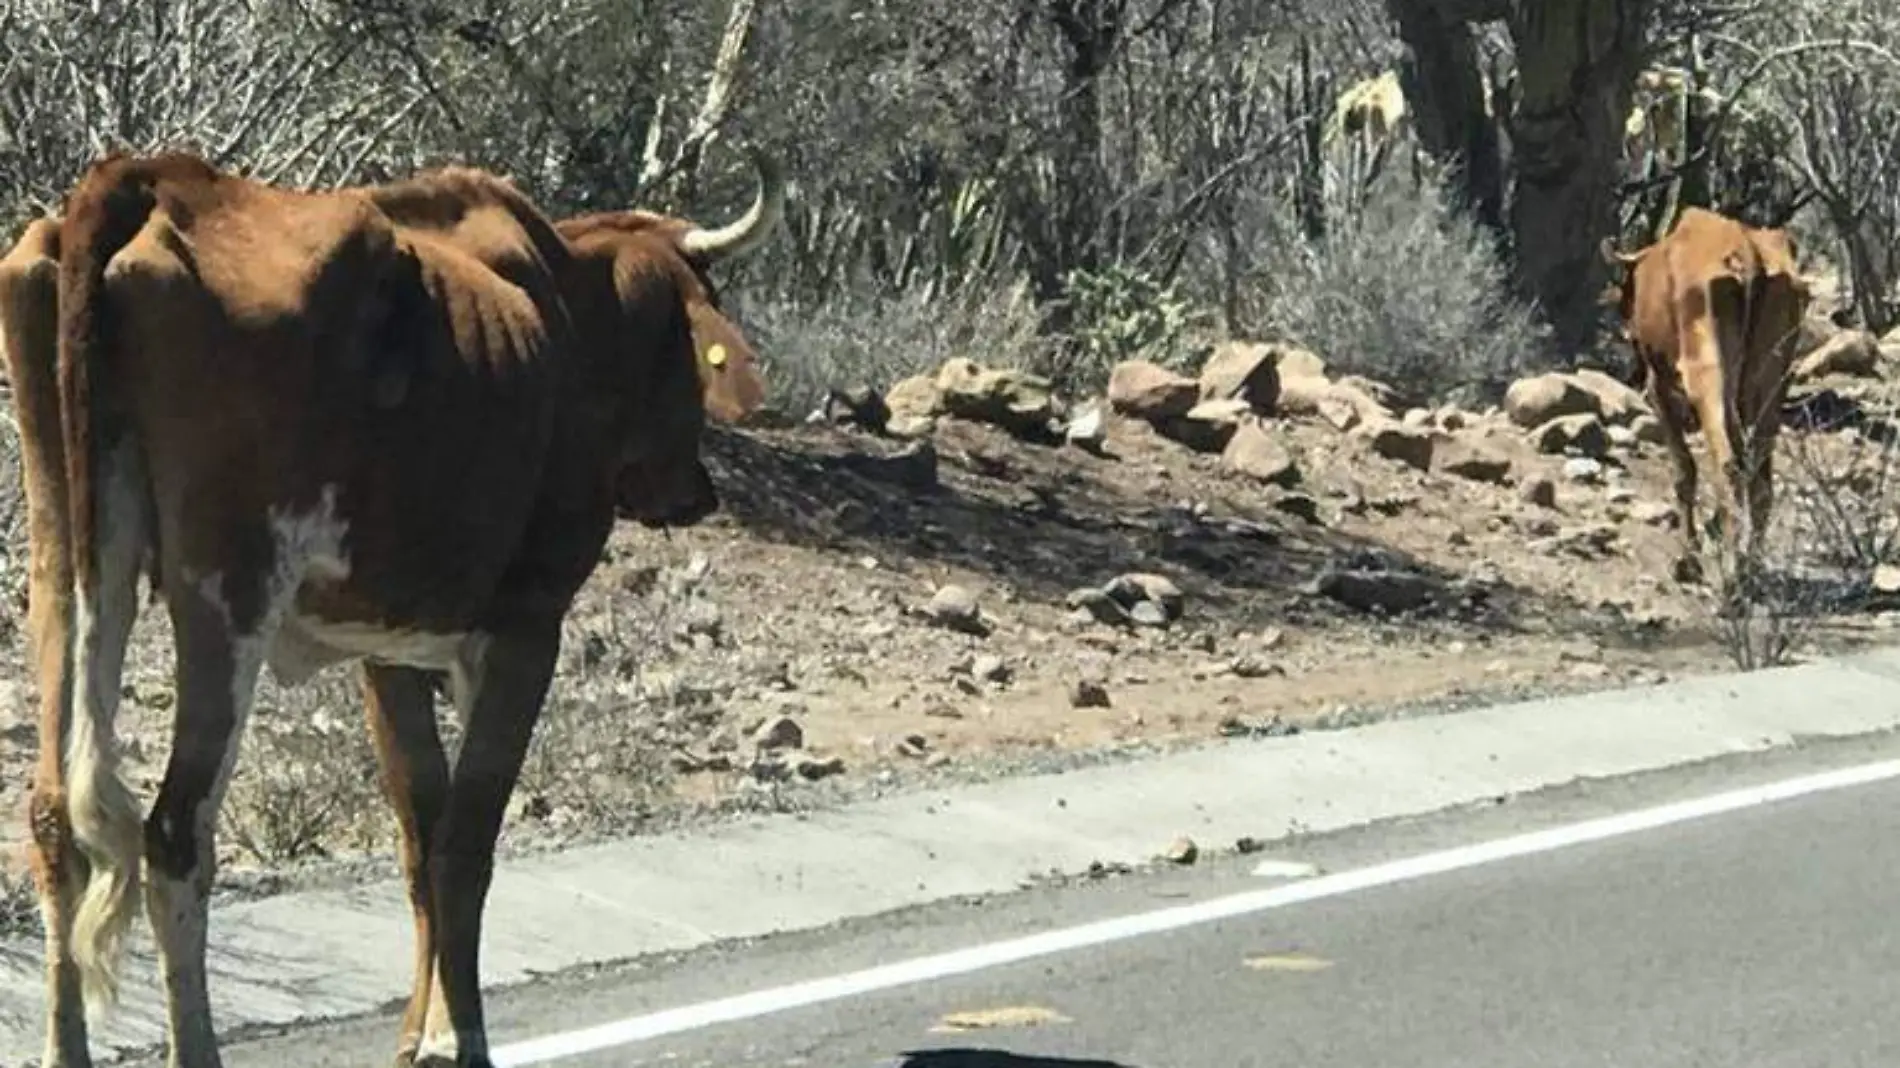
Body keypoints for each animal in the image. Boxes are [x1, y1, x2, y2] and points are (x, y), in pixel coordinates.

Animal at [0, 147, 779, 1064]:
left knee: (56, 818)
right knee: (175, 834)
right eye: (691, 343)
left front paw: (418, 1030)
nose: (698, 491)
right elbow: (463, 848)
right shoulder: (525, 630)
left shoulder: (388, 648)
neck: (569, 313)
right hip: (229, 595)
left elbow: (419, 837)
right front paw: (461, 1034)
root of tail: (154, 180)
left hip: (68, 562)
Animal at [1603, 206, 1808, 581]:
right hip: (1773, 377)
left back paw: (1729, 576)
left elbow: (1684, 469)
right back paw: (1750, 566)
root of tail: (1749, 256)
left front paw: (1688, 559)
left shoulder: (1659, 385)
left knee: (1727, 462)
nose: (1628, 333)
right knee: (1757, 471)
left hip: (1705, 373)